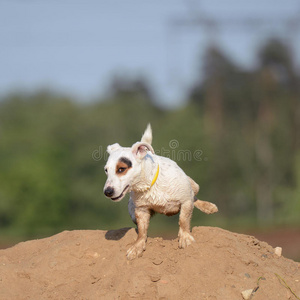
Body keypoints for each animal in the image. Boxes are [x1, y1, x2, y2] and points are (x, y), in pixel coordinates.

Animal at [103, 124, 218, 260]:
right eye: (106, 170)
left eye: (121, 169)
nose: (107, 191)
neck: (149, 185)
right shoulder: (141, 210)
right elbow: (141, 231)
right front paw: (137, 247)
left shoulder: (185, 200)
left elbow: (183, 220)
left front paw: (185, 237)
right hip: (132, 211)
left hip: (194, 186)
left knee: (194, 197)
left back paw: (209, 206)